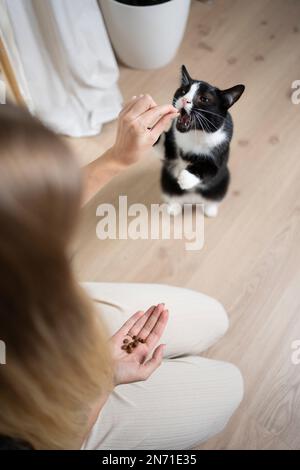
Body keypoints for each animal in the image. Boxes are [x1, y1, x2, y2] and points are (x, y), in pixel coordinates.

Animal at [159, 65, 244, 218]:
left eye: (204, 99)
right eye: (183, 91)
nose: (185, 100)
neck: (195, 133)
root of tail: (193, 200)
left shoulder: (220, 153)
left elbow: (208, 167)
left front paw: (186, 178)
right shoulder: (172, 144)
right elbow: (164, 147)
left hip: (222, 182)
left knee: (213, 198)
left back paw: (210, 210)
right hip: (166, 180)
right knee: (171, 195)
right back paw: (174, 208)